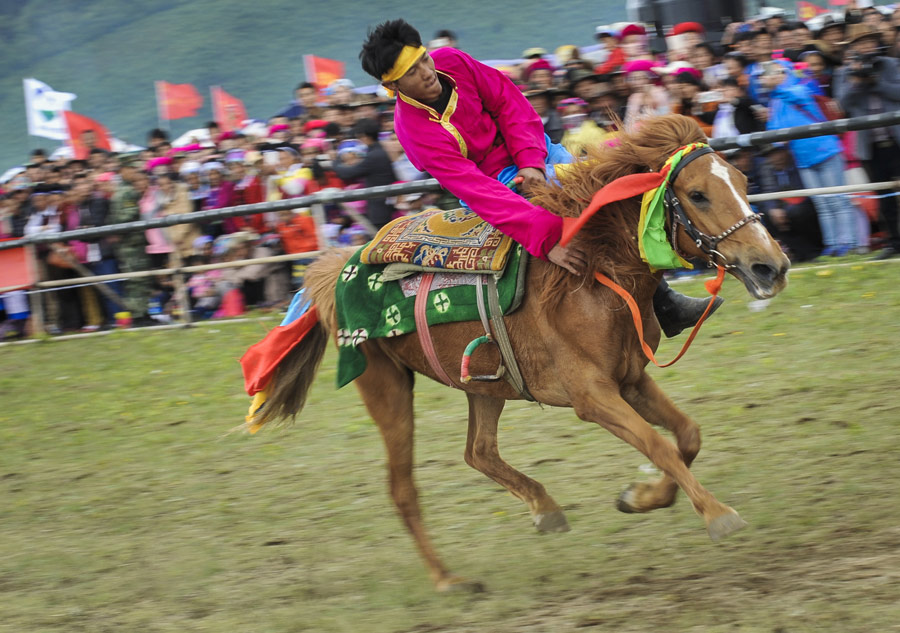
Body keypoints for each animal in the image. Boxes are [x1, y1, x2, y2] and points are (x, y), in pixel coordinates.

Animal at [251, 116, 788, 592]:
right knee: (404, 488)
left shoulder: (632, 379)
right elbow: (659, 445)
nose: (772, 266)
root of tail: (335, 269)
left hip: (483, 383)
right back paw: (449, 580)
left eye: (743, 181)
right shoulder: (593, 396)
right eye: (697, 194)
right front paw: (716, 514)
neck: (590, 274)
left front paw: (638, 498)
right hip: (386, 385)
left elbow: (686, 437)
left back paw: (545, 510)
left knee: (479, 451)